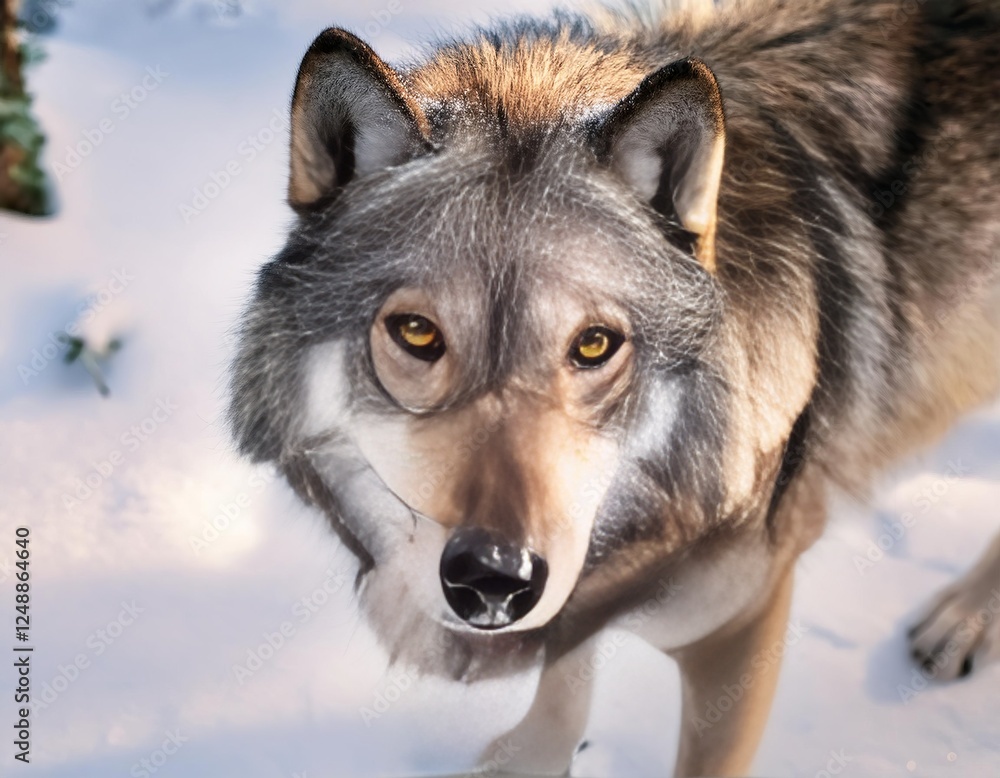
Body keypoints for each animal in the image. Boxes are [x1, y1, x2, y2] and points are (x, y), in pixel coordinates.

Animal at [228, 0, 1000, 773]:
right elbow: (566, 669)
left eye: (594, 344)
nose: (494, 578)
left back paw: (963, 619)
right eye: (417, 333)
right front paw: (537, 755)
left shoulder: (739, 631)